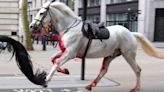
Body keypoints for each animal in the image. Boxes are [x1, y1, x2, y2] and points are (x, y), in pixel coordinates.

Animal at [29, 1, 164, 91]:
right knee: (104, 70)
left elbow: (56, 62)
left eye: (41, 13)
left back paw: (136, 88)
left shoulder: (70, 53)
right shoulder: (65, 51)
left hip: (128, 55)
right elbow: (53, 59)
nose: (31, 26)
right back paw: (90, 85)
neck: (69, 28)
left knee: (137, 70)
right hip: (110, 55)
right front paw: (65, 71)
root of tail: (131, 33)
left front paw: (46, 81)